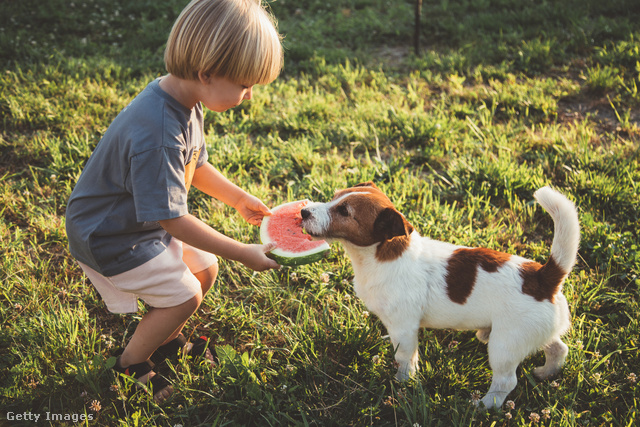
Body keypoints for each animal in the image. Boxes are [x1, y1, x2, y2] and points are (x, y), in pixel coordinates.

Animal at [300, 182, 580, 410]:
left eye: (344, 212)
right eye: (334, 197)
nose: (303, 212)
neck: (382, 255)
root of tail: (543, 277)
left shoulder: (404, 328)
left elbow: (404, 358)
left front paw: (402, 383)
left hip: (505, 345)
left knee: (506, 381)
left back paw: (484, 405)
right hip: (532, 333)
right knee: (558, 348)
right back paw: (546, 373)